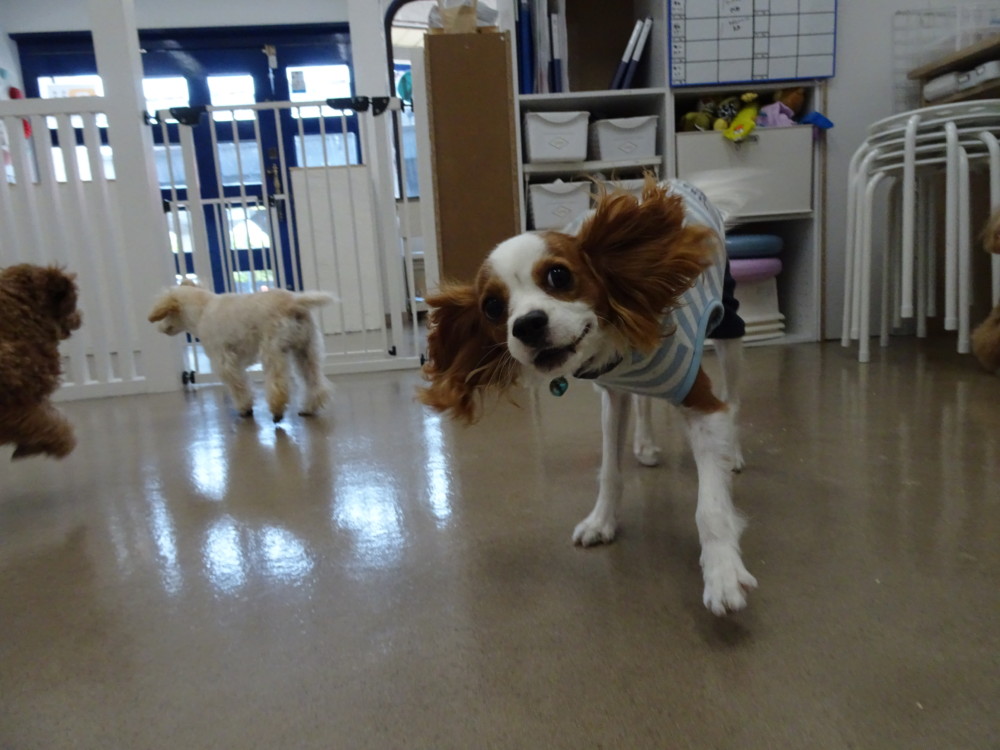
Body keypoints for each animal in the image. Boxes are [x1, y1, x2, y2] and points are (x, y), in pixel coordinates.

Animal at [148, 281, 334, 421]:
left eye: (166, 314)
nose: (159, 327)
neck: (203, 309)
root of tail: (293, 302)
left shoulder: (224, 361)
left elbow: (238, 385)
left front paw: (245, 407)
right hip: (306, 352)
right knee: (315, 381)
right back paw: (309, 407)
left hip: (273, 352)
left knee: (278, 384)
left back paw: (277, 410)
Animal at [418, 175, 756, 615]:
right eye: (492, 306)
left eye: (559, 276)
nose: (527, 325)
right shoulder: (612, 395)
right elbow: (609, 471)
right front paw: (602, 521)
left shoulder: (700, 402)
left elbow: (711, 505)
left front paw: (722, 571)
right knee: (645, 402)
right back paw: (645, 445)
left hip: (728, 325)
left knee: (733, 396)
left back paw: (733, 453)